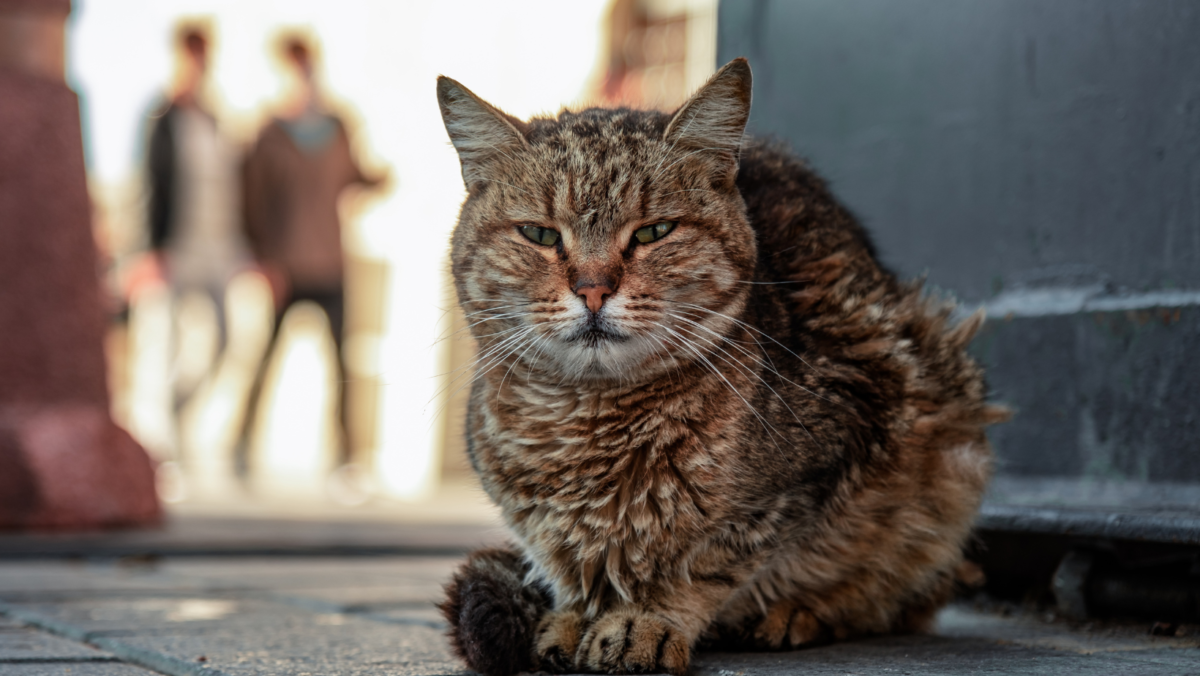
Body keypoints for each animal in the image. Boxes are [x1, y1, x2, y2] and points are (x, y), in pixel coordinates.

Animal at [436, 59, 1008, 676]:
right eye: (539, 234)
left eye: (653, 232)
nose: (593, 289)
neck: (586, 422)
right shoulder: (532, 522)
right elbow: (567, 565)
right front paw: (572, 615)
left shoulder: (818, 463)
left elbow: (708, 563)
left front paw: (646, 619)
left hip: (947, 431)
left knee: (900, 595)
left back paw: (797, 613)